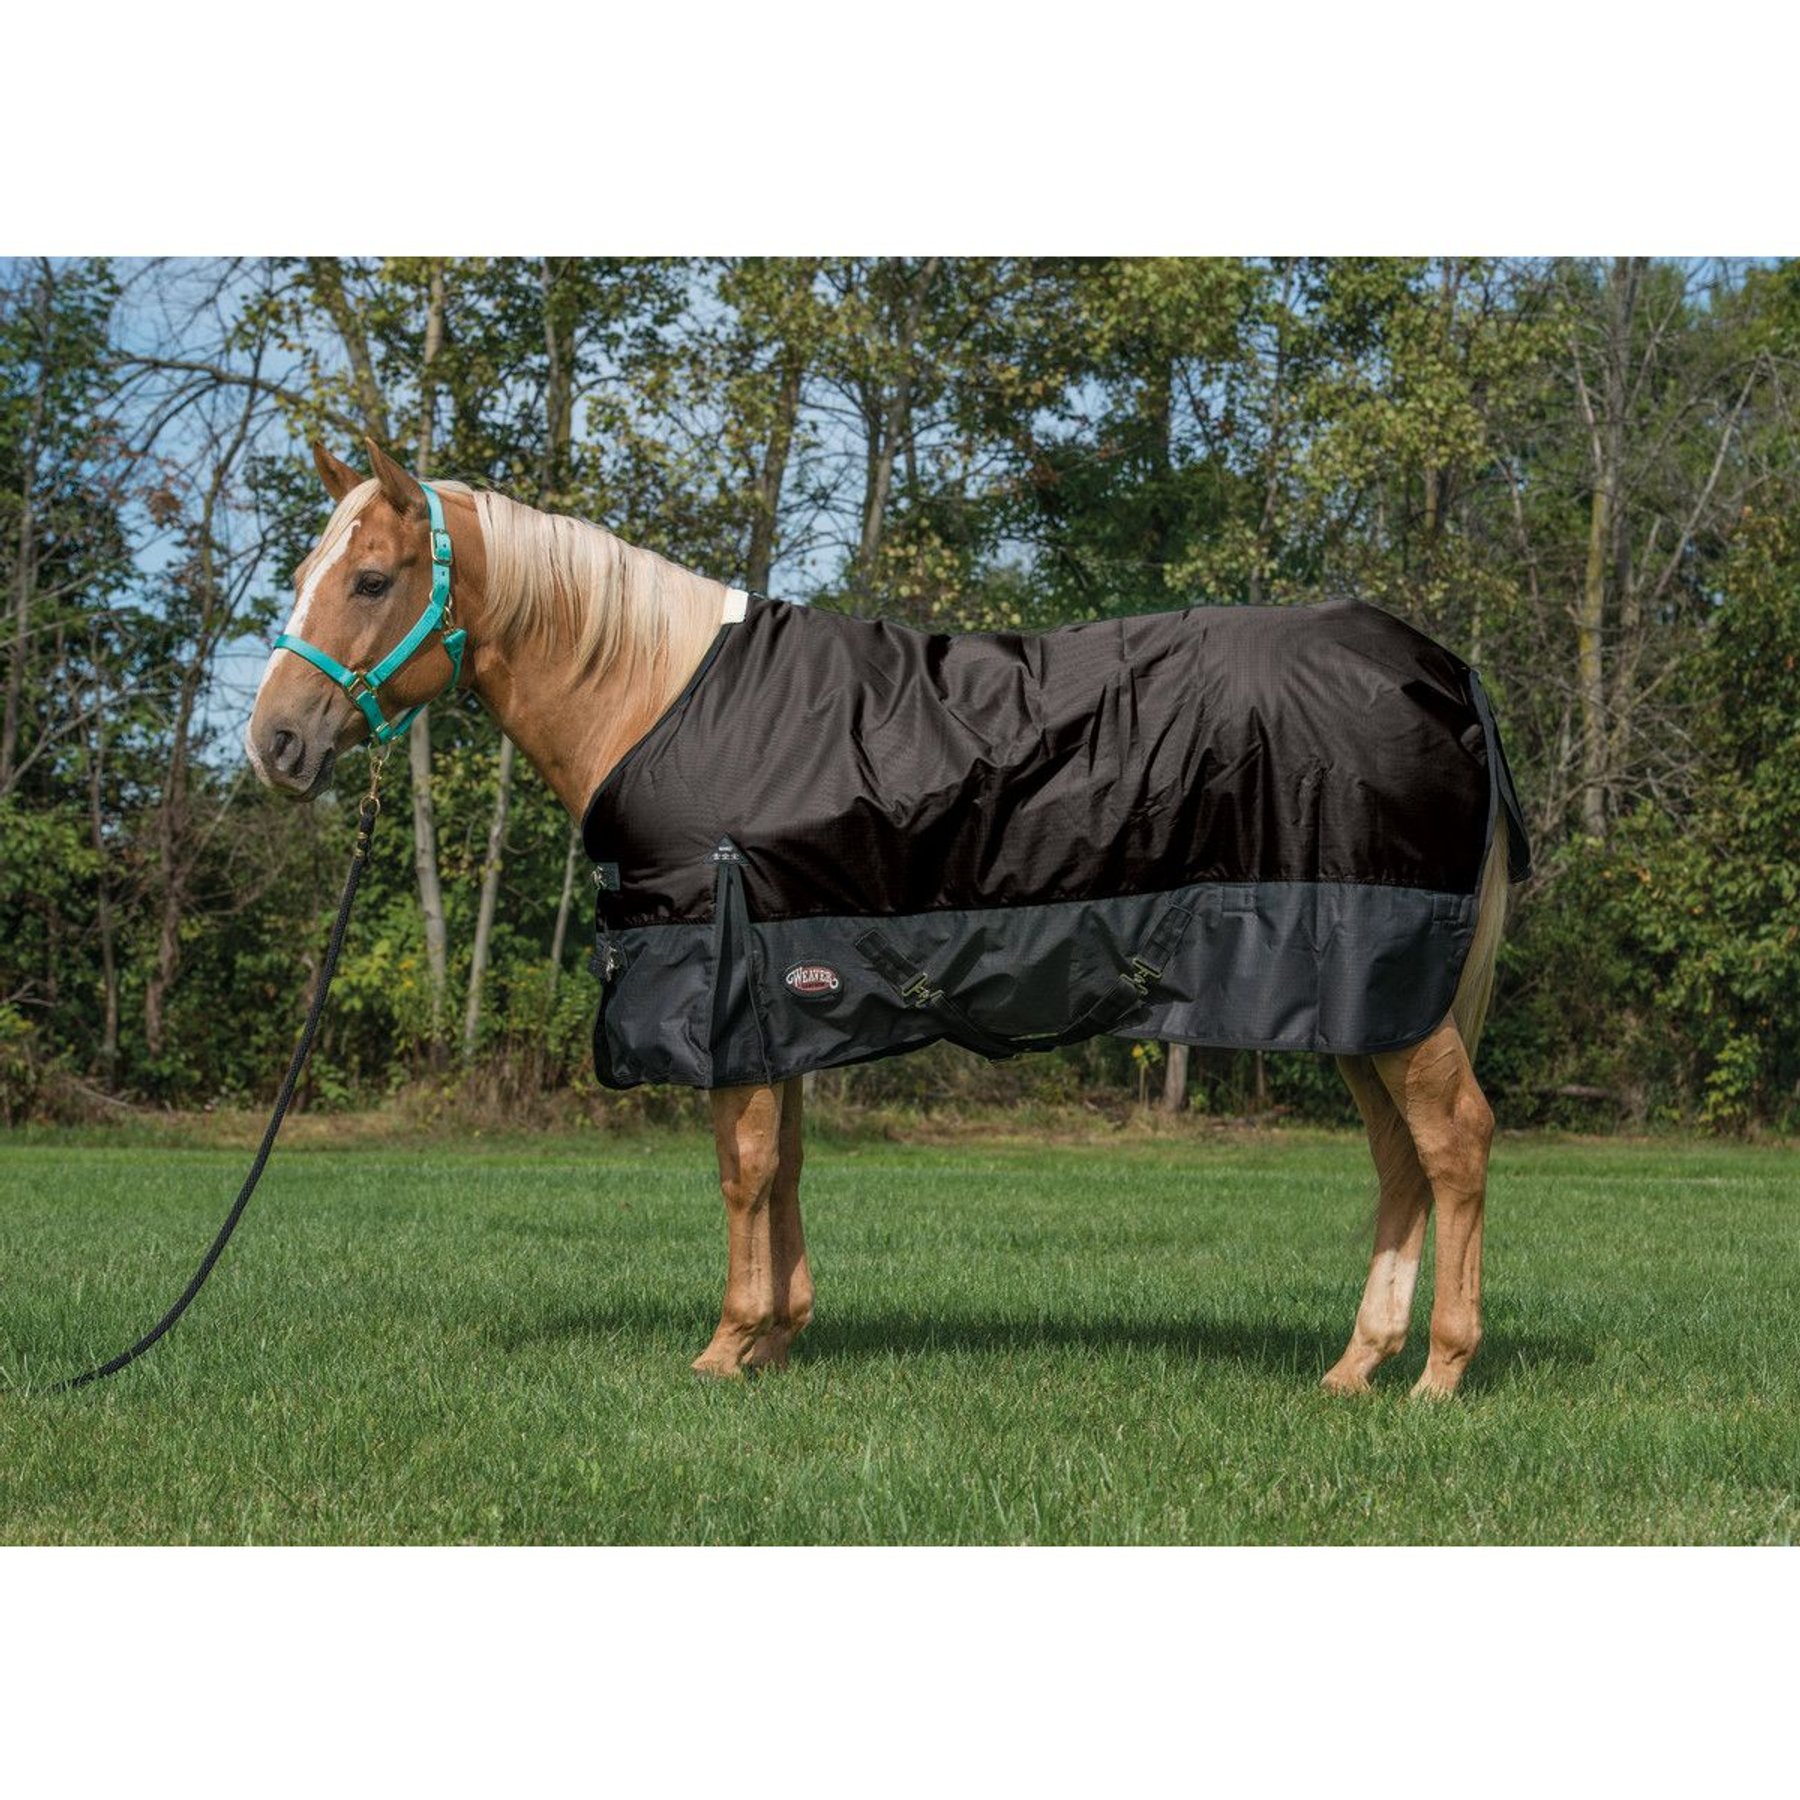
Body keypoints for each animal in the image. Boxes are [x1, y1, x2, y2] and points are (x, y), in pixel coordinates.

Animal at [247, 438, 1520, 1398]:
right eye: (302, 571)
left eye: (372, 580)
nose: (275, 744)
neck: (656, 694)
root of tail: (1445, 672)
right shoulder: (784, 990)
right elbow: (788, 1165)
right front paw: (778, 1337)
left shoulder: (725, 981)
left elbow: (743, 1169)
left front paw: (724, 1346)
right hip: (1362, 1002)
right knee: (1400, 1160)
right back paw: (1356, 1366)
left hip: (1390, 988)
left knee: (1455, 1142)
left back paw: (1439, 1373)